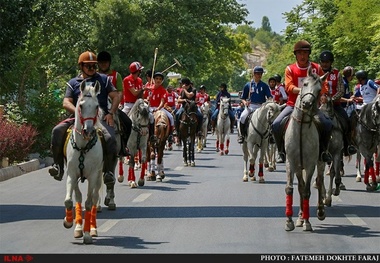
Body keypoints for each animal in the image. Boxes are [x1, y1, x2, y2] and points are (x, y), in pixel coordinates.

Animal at [284, 68, 328, 233]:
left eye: (319, 89)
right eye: (305, 84)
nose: (307, 103)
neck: (301, 128)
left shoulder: (310, 165)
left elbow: (307, 191)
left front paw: (307, 223)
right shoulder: (291, 162)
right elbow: (291, 189)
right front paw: (289, 221)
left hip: (321, 162)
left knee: (319, 181)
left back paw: (319, 212)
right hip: (298, 166)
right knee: (301, 187)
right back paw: (300, 217)